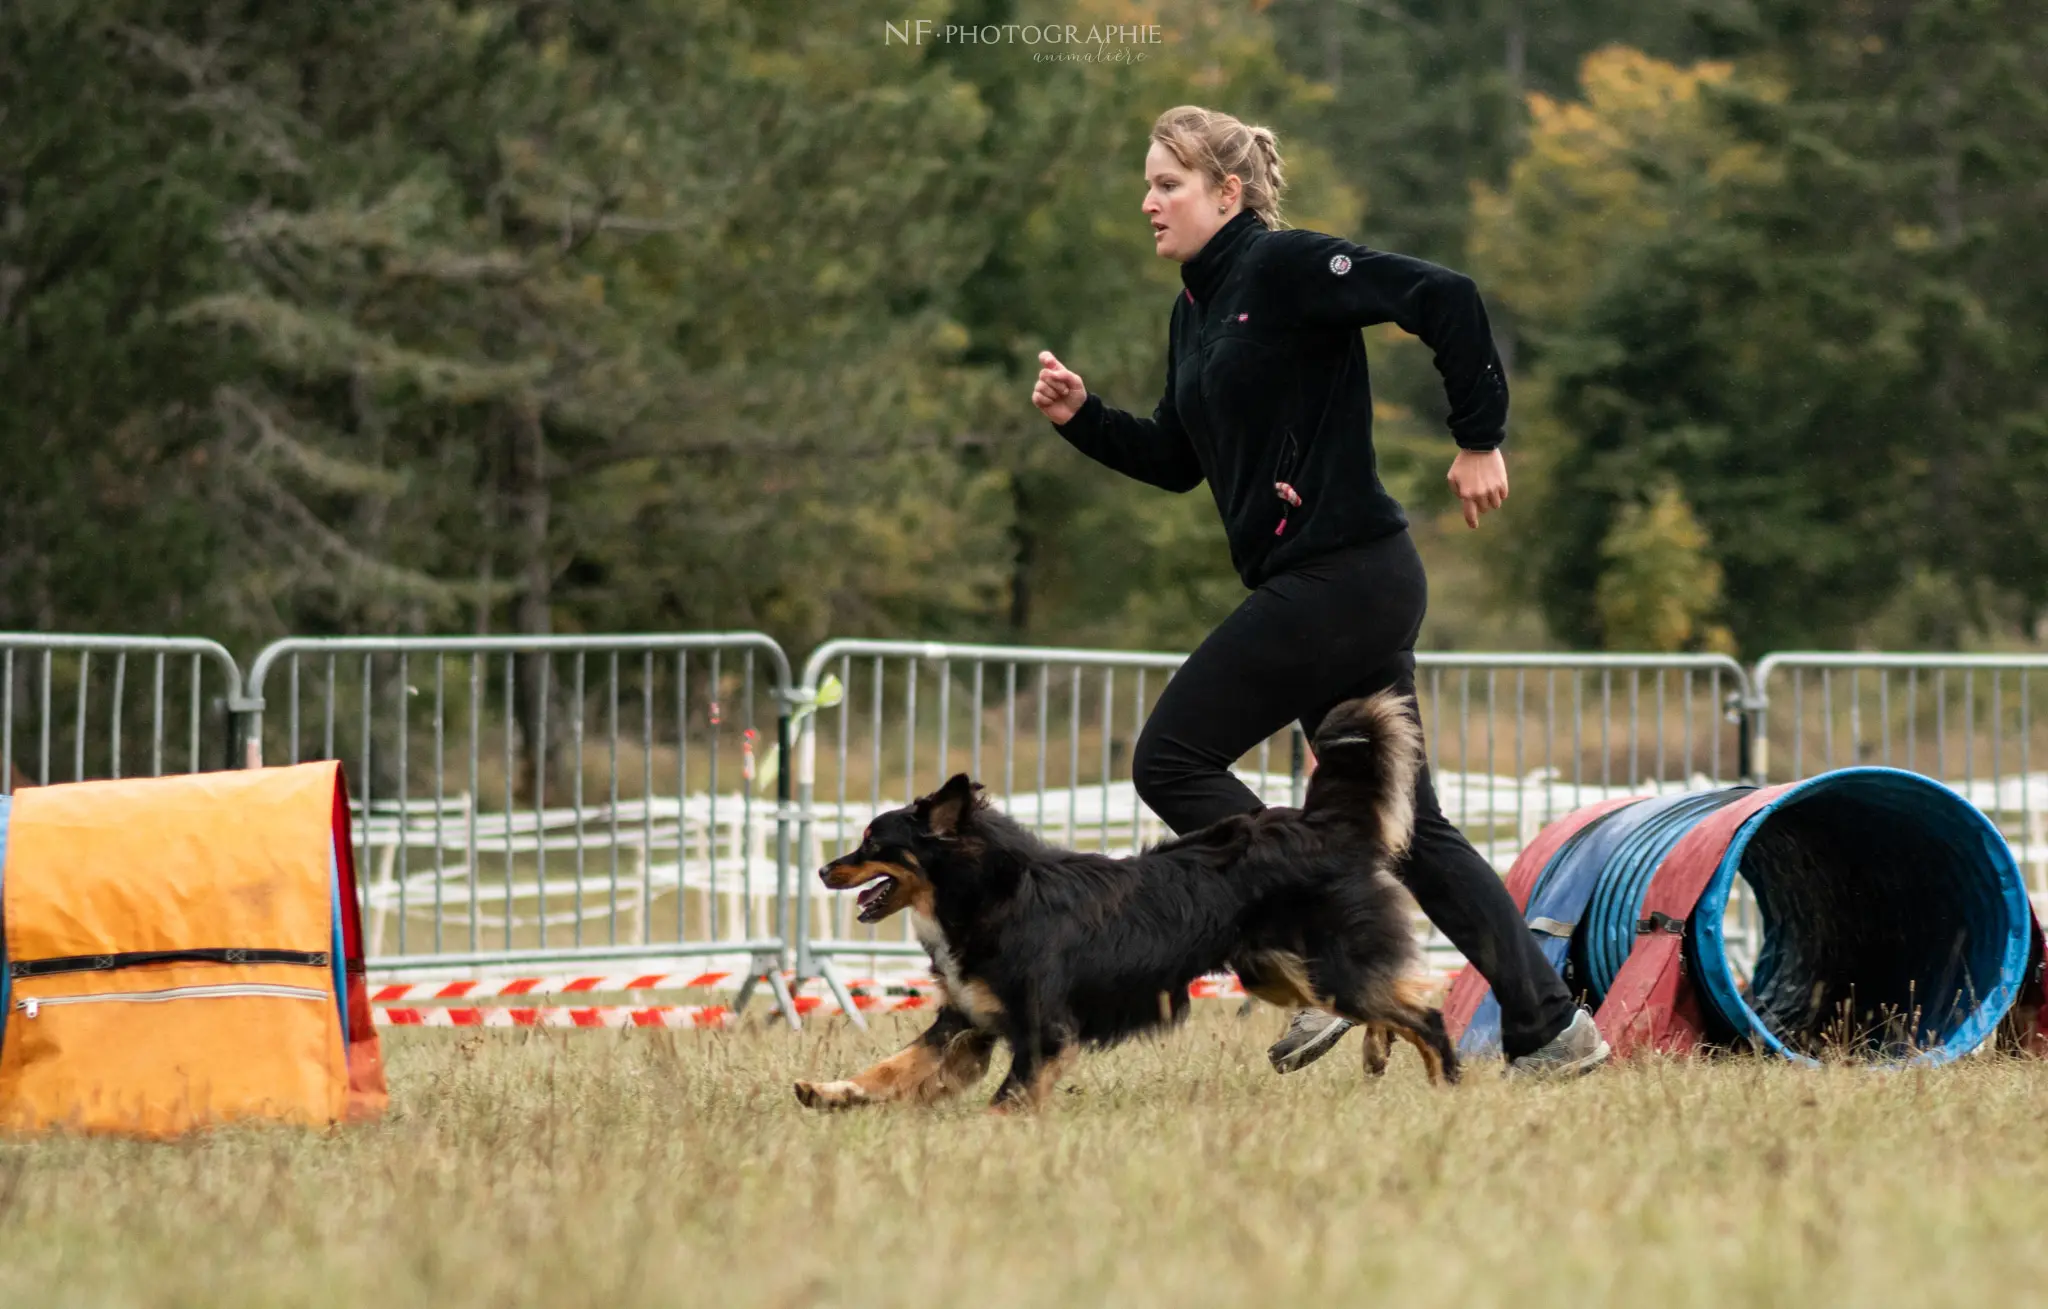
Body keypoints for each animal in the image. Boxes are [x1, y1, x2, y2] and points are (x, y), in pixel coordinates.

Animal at [790, 692, 1449, 1114]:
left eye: (873, 843)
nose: (822, 868)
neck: (988, 892)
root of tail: (1323, 825)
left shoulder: (1045, 1030)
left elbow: (1005, 1100)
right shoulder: (966, 1021)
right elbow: (892, 1067)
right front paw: (830, 1093)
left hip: (1326, 967)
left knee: (1424, 1013)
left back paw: (1450, 1086)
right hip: (1278, 972)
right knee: (1391, 1002)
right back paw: (1377, 1050)